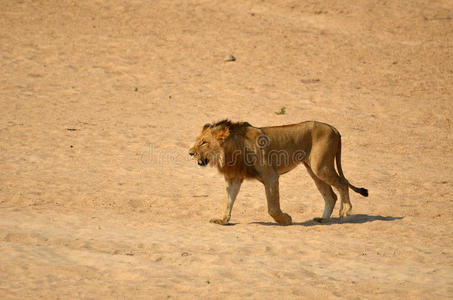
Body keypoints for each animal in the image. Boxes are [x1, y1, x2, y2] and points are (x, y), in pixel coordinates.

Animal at [187, 119, 368, 225]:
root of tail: (334, 128)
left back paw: (345, 211)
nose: (190, 153)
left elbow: (272, 208)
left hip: (321, 166)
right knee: (331, 195)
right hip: (314, 170)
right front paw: (223, 220)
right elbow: (228, 201)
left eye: (204, 142)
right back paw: (323, 219)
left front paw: (286, 220)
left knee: (343, 183)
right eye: (198, 141)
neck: (232, 151)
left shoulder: (271, 176)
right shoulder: (234, 178)